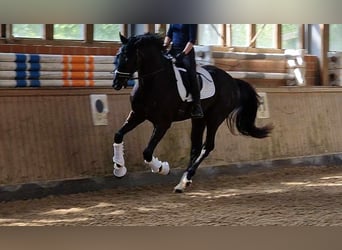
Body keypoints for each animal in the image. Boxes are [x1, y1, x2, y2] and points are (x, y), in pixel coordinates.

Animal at [112, 32, 272, 193]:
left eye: (127, 58)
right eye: (118, 56)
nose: (116, 84)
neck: (154, 82)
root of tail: (232, 80)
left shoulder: (163, 123)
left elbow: (147, 152)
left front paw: (162, 168)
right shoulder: (137, 114)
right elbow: (118, 135)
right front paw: (119, 167)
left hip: (215, 118)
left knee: (207, 146)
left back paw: (185, 180)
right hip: (199, 119)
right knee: (196, 147)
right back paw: (183, 182)